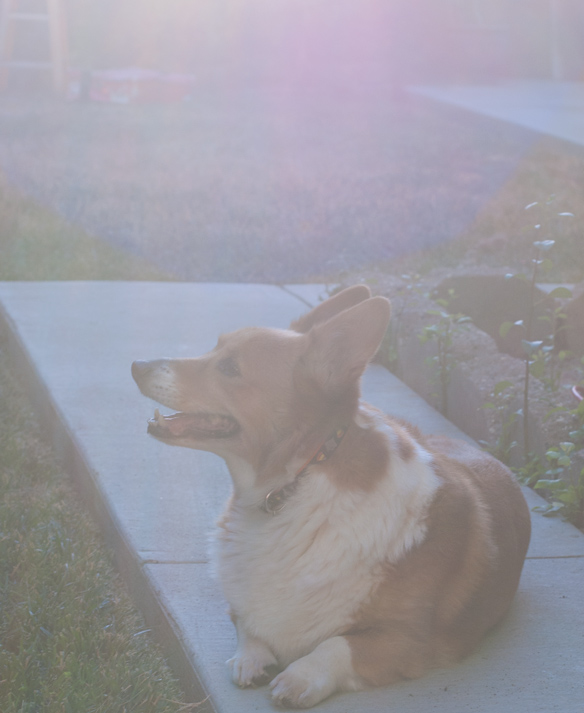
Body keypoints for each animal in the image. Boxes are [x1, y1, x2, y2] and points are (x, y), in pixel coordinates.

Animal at [131, 286, 528, 708]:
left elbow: (338, 644)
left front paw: (299, 677)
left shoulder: (411, 640)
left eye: (229, 368)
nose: (136, 365)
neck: (296, 482)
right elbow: (248, 621)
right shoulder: (242, 602)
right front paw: (252, 658)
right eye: (215, 348)